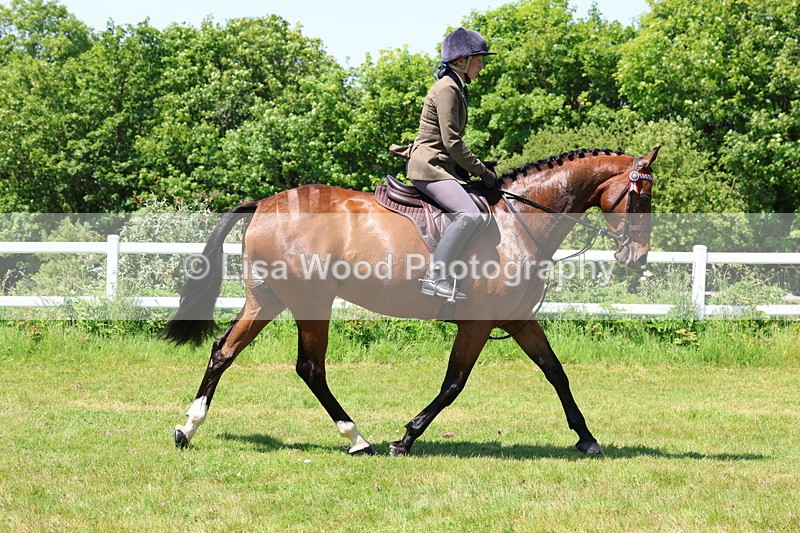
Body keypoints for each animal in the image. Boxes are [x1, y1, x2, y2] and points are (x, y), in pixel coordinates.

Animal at [165, 146, 660, 457]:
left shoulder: (518, 320)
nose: (636, 258)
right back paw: (357, 438)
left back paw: (187, 428)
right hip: (310, 301)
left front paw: (587, 438)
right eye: (641, 197)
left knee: (224, 350)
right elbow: (453, 384)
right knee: (310, 368)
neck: (521, 221)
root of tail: (265, 204)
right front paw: (405, 438)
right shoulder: (478, 325)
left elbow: (556, 372)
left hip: (267, 299)